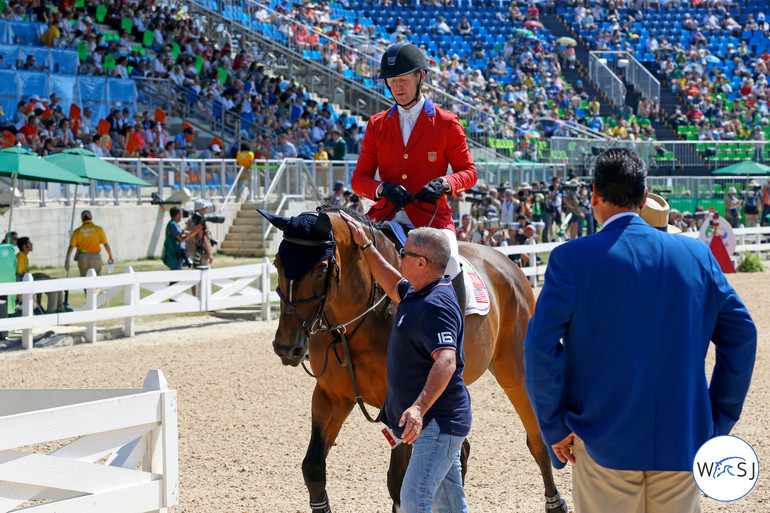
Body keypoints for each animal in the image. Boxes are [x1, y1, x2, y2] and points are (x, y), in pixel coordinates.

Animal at [258, 206, 564, 512]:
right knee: (459, 451)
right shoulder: (332, 397)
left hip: (515, 371)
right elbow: (313, 467)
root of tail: (508, 263)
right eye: (277, 263)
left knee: (537, 439)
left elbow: (398, 481)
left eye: (321, 268)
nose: (286, 347)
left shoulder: (400, 405)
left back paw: (555, 502)